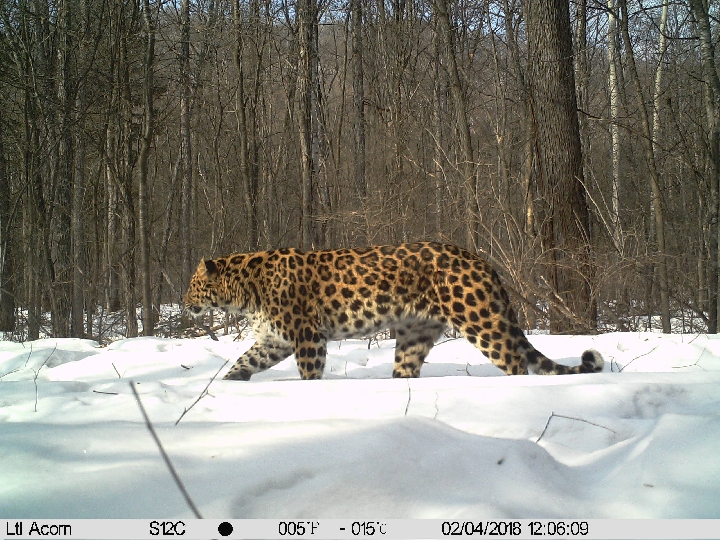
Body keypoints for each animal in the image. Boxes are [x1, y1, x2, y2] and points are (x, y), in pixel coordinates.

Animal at [184, 240, 600, 380]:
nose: (186, 303)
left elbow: (309, 374)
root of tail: (481, 261)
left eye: (193, 284)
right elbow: (242, 363)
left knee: (514, 361)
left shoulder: (306, 336)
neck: (243, 290)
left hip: (481, 322)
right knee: (406, 370)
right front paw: (226, 388)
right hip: (415, 334)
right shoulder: (274, 340)